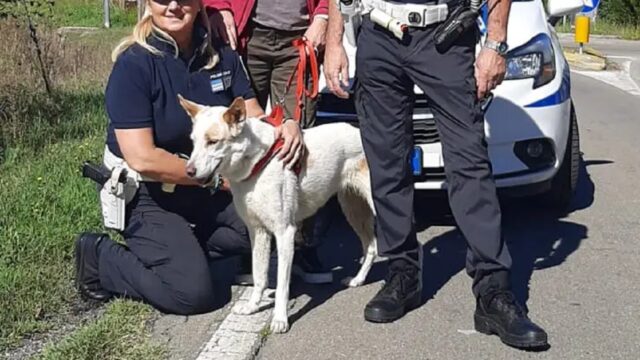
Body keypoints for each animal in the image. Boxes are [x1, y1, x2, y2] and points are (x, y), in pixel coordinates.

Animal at [180, 96, 378, 334]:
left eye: (213, 141)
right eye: (193, 141)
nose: (188, 171)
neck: (258, 162)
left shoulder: (285, 233)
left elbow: (282, 286)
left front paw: (280, 319)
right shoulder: (258, 232)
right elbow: (259, 276)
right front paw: (253, 306)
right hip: (353, 208)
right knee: (371, 247)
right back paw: (358, 280)